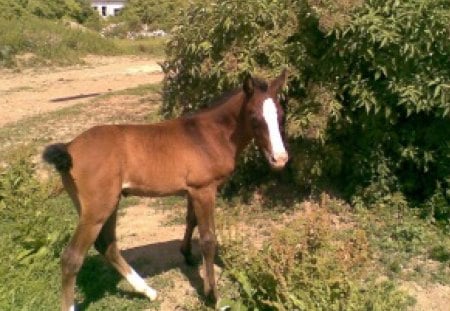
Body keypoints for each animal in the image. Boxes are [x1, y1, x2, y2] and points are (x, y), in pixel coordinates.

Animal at [42, 71, 288, 311]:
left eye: (281, 115)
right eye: (254, 117)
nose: (280, 159)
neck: (208, 135)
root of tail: (69, 148)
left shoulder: (193, 190)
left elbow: (191, 221)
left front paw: (186, 254)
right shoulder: (204, 189)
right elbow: (208, 239)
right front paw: (212, 296)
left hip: (107, 204)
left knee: (107, 245)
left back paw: (148, 291)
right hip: (98, 208)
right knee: (72, 258)